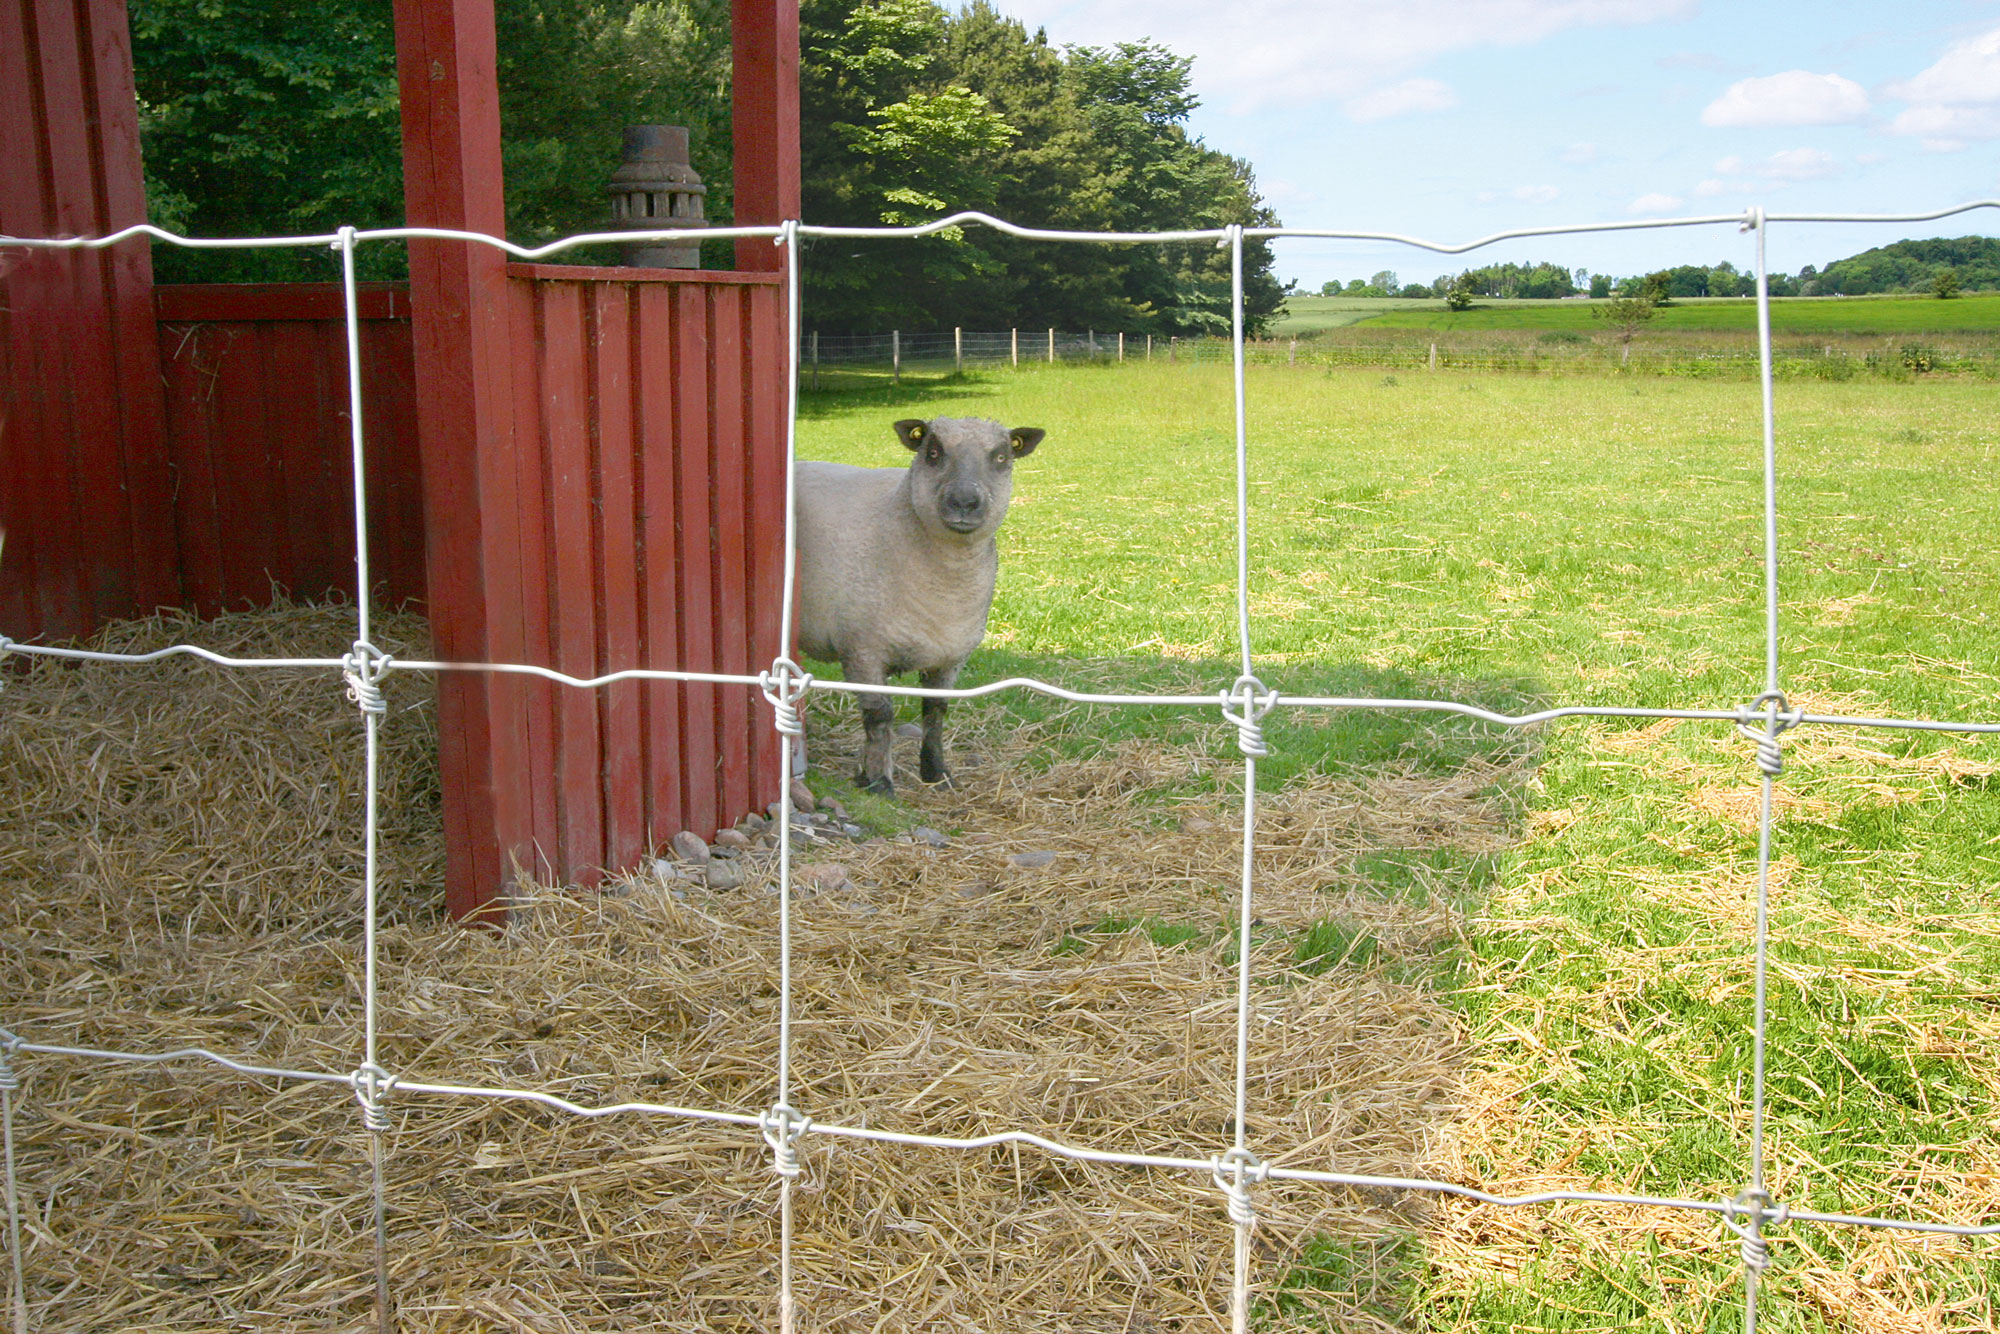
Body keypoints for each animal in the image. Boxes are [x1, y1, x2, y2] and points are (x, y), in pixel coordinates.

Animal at [796, 418, 1048, 792]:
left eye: (1002, 456)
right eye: (932, 452)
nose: (964, 501)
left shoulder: (951, 656)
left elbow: (935, 712)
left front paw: (936, 772)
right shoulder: (862, 650)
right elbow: (879, 716)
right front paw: (879, 782)